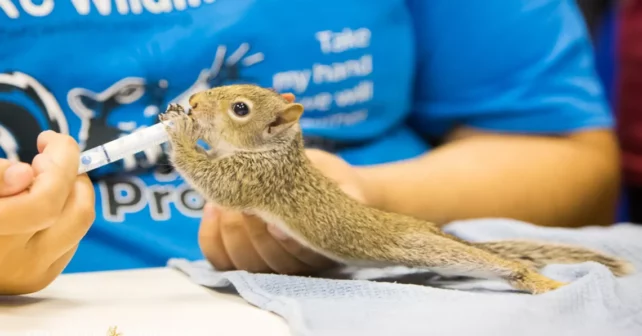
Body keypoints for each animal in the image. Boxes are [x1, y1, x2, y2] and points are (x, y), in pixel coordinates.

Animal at [159, 84, 632, 294]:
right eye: (219, 89)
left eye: (240, 108)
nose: (195, 102)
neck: (276, 149)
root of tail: (428, 228)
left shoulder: (256, 177)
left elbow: (212, 181)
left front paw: (179, 131)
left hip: (420, 245)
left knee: (502, 265)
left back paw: (537, 281)